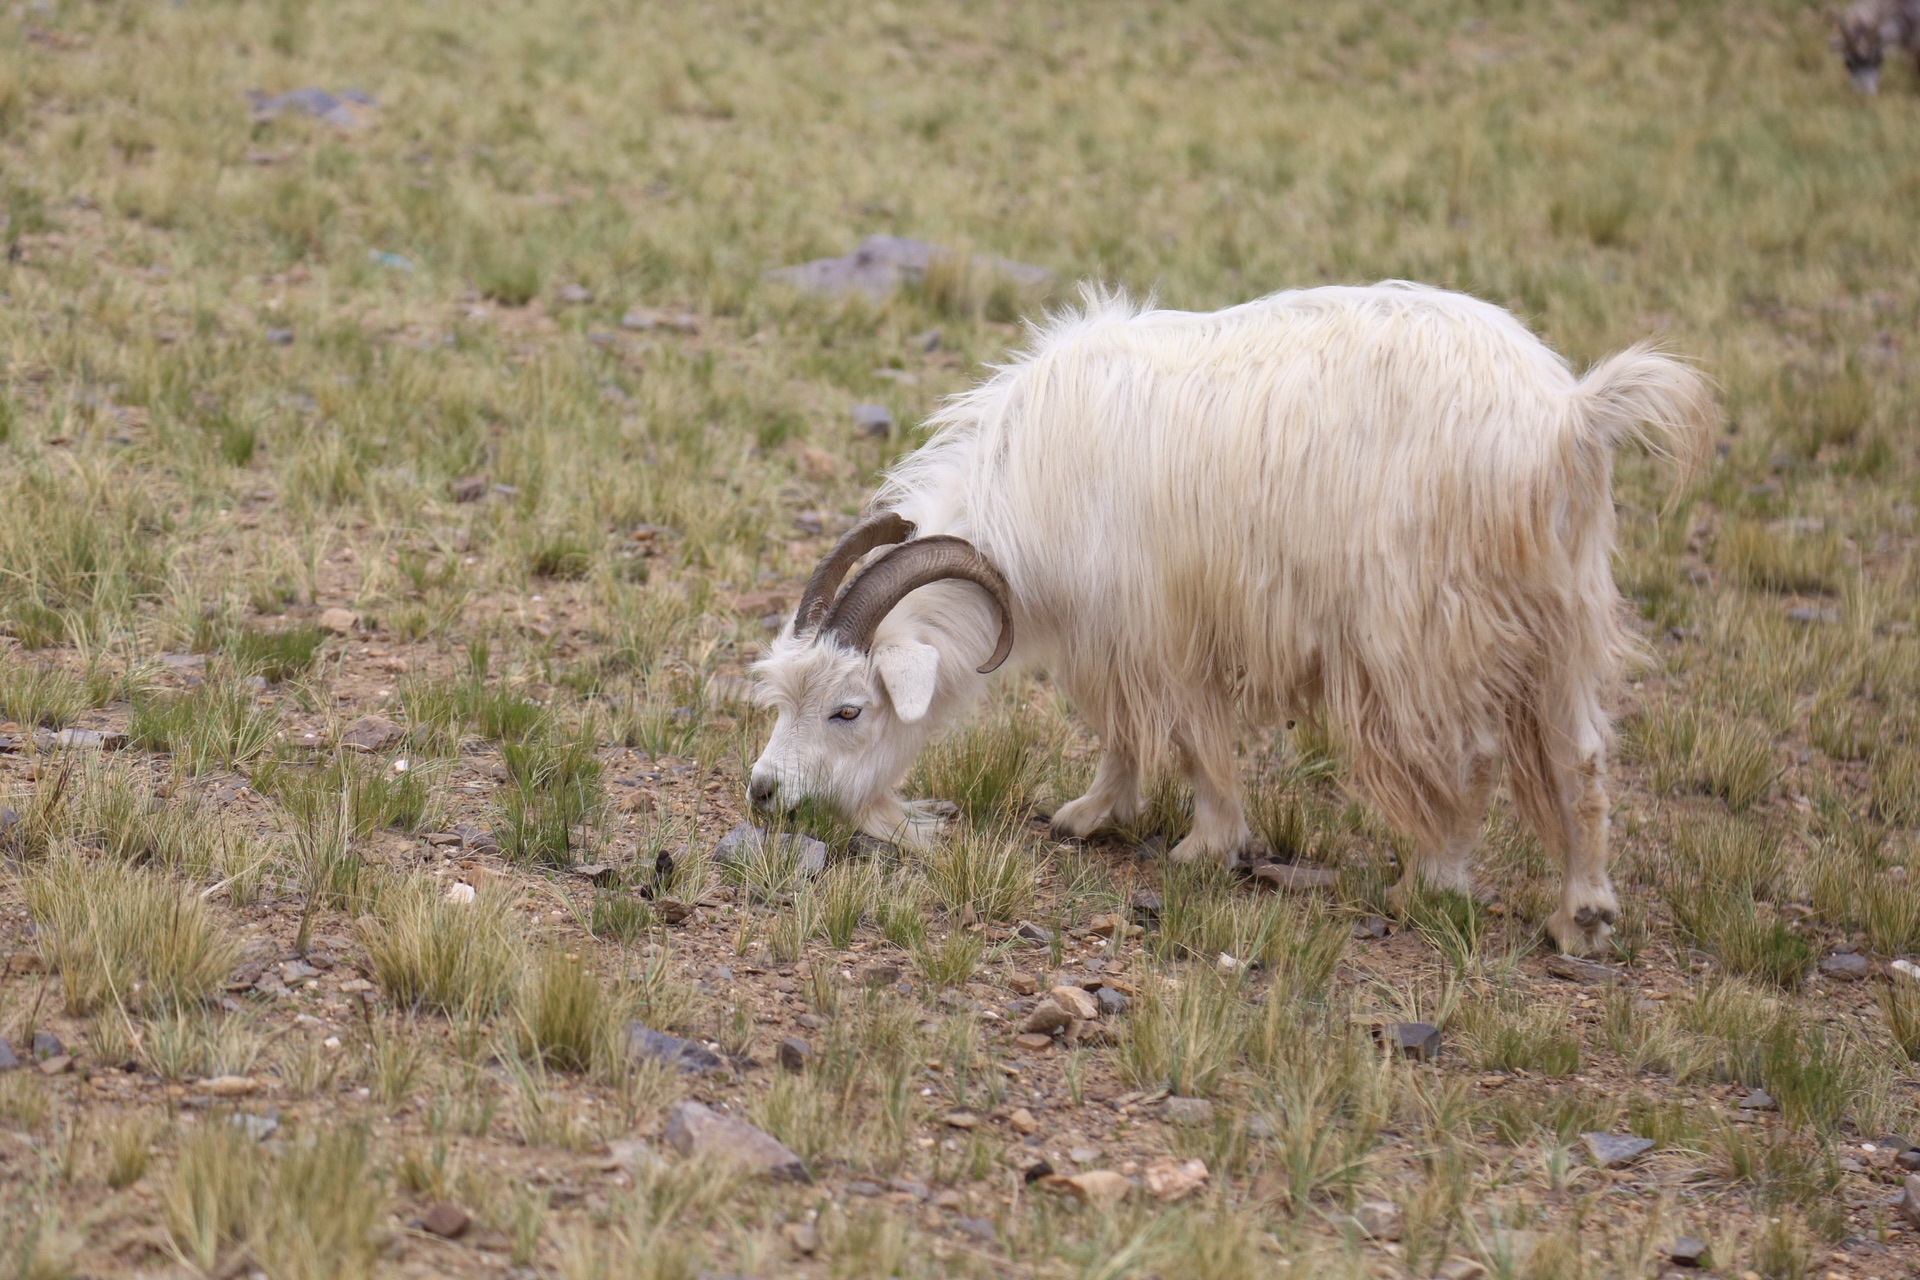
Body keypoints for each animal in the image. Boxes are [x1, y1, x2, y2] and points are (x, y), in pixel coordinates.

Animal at [744, 285, 1712, 955]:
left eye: (848, 709)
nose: (764, 795)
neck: (1029, 485)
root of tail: (1572, 418)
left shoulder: (1154, 626)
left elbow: (1175, 732)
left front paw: (1196, 844)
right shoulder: (1124, 632)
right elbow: (1126, 730)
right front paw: (1093, 815)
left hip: (1423, 624)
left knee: (1462, 755)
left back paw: (1430, 880)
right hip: (1560, 618)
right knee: (1582, 757)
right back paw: (1582, 917)